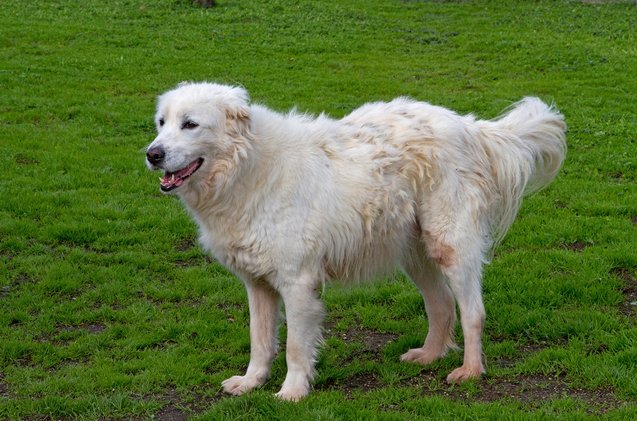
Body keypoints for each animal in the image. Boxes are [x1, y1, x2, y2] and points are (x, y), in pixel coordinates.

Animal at [145, 83, 568, 400]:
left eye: (190, 124)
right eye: (162, 123)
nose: (152, 154)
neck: (247, 167)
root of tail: (469, 126)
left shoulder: (297, 283)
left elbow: (295, 346)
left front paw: (292, 392)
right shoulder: (258, 284)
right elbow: (260, 340)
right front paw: (251, 382)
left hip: (449, 245)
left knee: (472, 312)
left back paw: (470, 371)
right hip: (415, 254)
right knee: (441, 305)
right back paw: (429, 356)